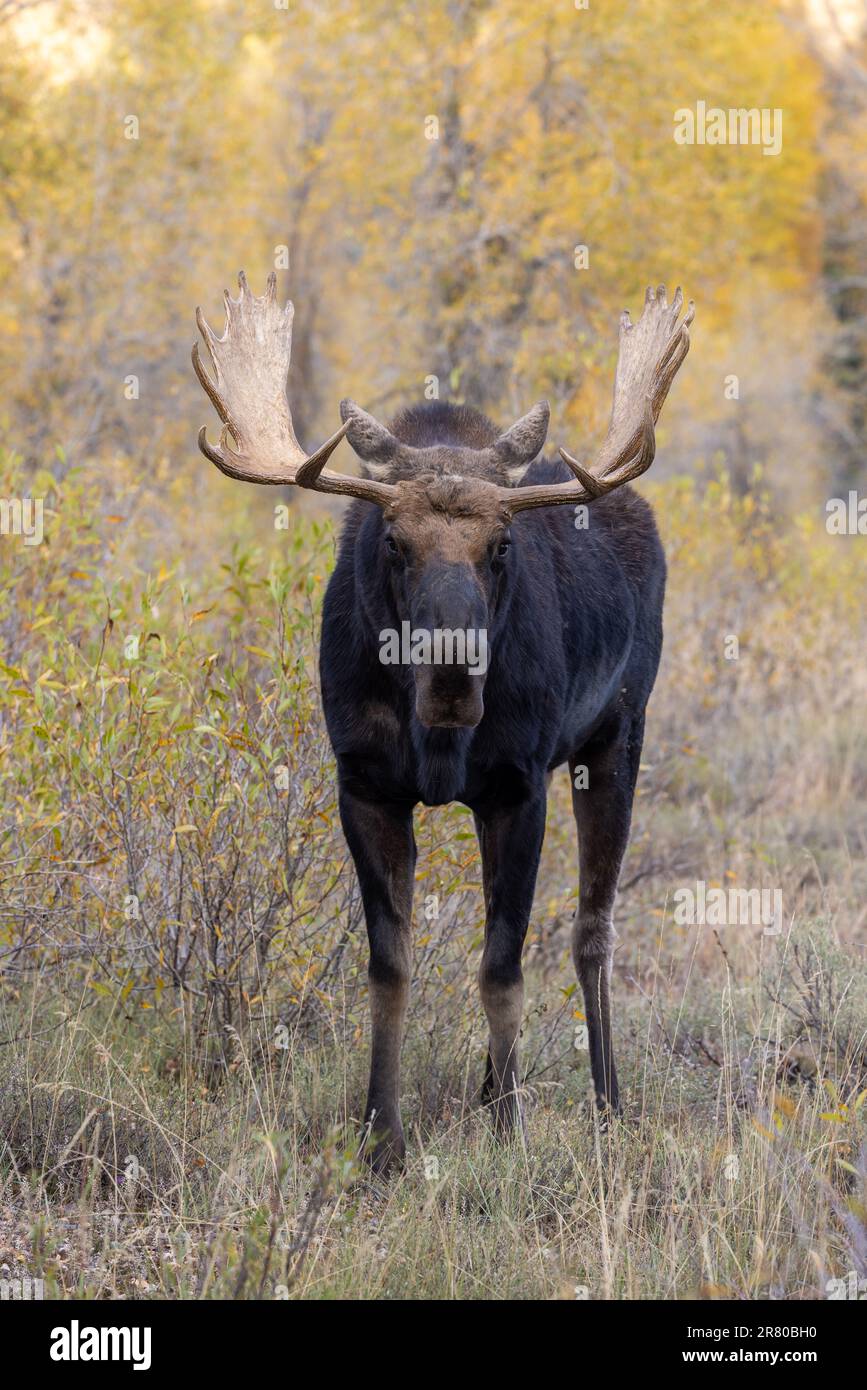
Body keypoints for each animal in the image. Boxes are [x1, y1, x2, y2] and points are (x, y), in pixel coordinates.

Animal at [193, 269, 694, 1172]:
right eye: (394, 540)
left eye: (501, 544)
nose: (455, 667)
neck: (436, 736)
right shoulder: (363, 787)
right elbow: (388, 969)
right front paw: (380, 1135)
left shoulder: (517, 788)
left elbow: (502, 968)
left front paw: (508, 1130)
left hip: (619, 734)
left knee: (592, 927)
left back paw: (606, 1104)